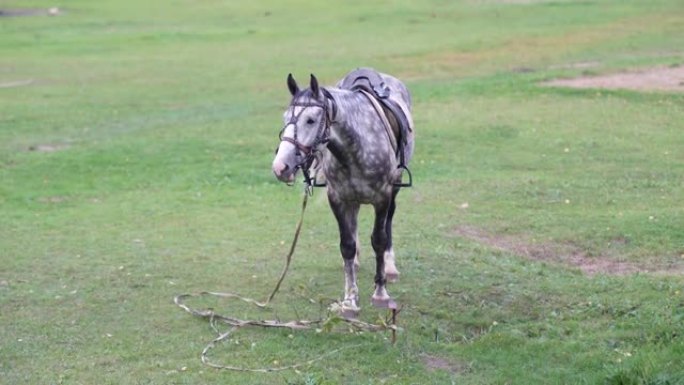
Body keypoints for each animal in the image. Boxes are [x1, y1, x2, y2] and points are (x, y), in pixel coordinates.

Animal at [272, 68, 412, 316]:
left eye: (310, 120)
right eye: (285, 117)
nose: (281, 167)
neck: (356, 145)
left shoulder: (383, 197)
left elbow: (379, 239)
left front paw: (380, 293)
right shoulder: (337, 198)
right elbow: (347, 245)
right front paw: (349, 300)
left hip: (394, 189)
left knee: (388, 224)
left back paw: (390, 266)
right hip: (352, 199)